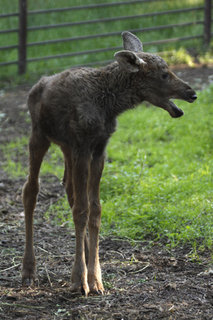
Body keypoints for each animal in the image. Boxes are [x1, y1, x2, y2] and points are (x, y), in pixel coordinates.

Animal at [21, 31, 196, 296]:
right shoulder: (83, 146)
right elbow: (82, 210)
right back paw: (29, 270)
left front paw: (96, 278)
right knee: (31, 190)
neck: (110, 106)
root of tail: (36, 86)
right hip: (39, 134)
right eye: (164, 74)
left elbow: (95, 209)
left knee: (68, 187)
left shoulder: (98, 149)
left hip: (66, 146)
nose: (192, 93)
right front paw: (79, 280)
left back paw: (82, 253)